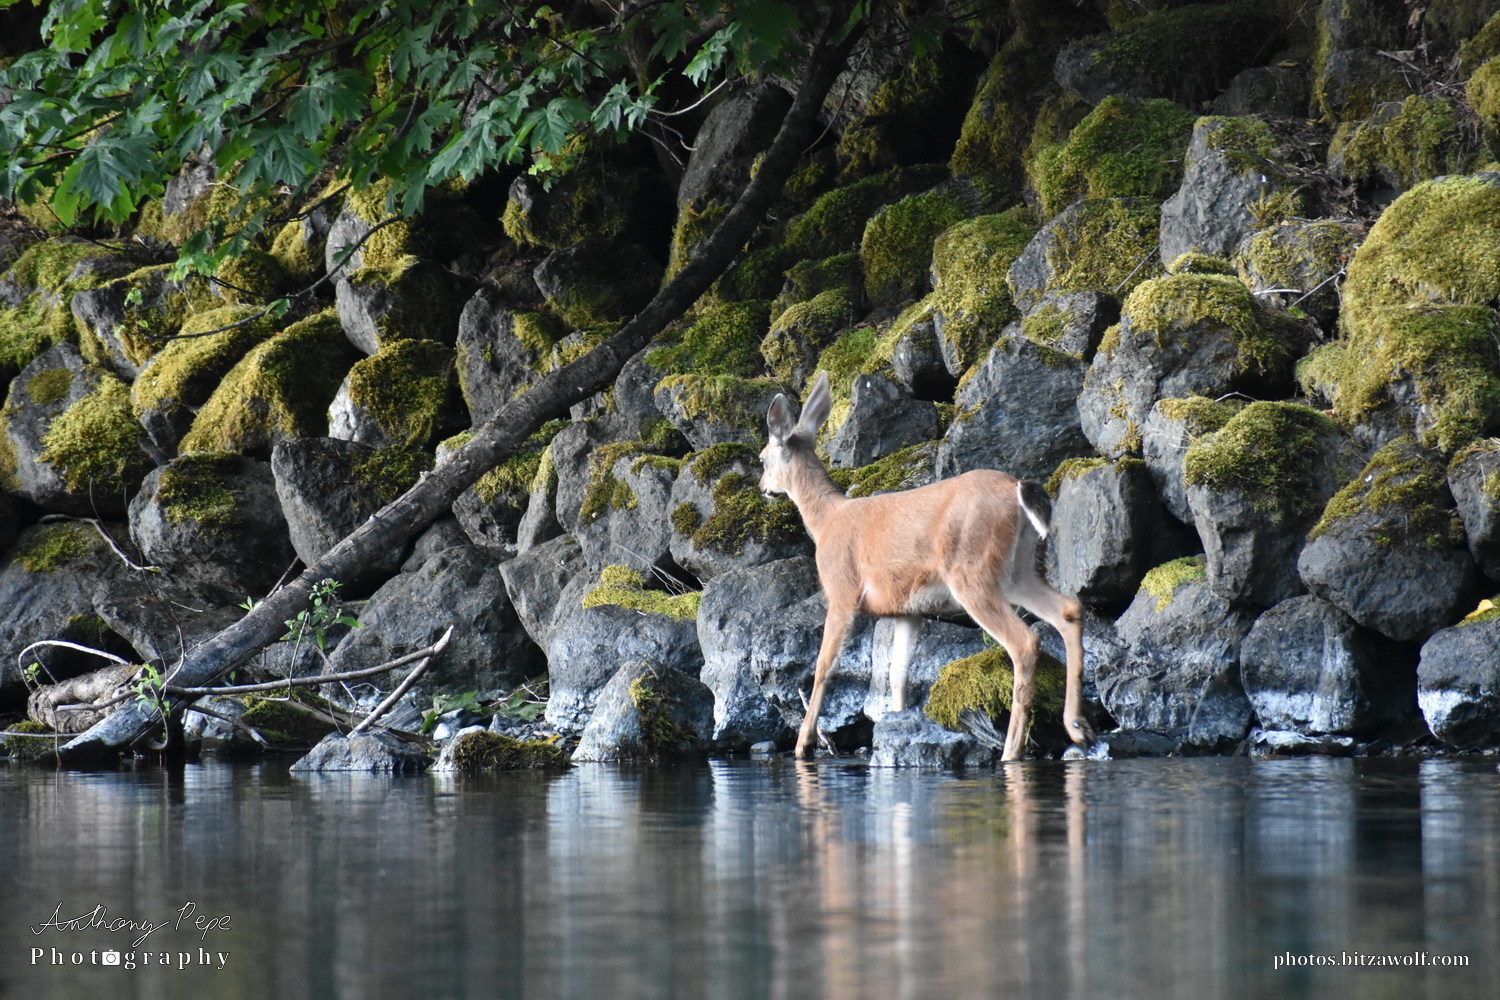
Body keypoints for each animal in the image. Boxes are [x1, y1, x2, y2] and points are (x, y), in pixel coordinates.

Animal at [759, 371, 1094, 761]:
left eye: (763, 459)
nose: (763, 487)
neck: (826, 519)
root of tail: (1017, 489)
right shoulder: (907, 610)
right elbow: (897, 677)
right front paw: (899, 725)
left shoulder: (842, 593)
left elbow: (824, 667)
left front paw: (803, 743)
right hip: (1018, 570)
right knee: (1068, 610)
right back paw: (1077, 727)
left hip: (971, 570)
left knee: (1025, 641)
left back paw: (1012, 750)